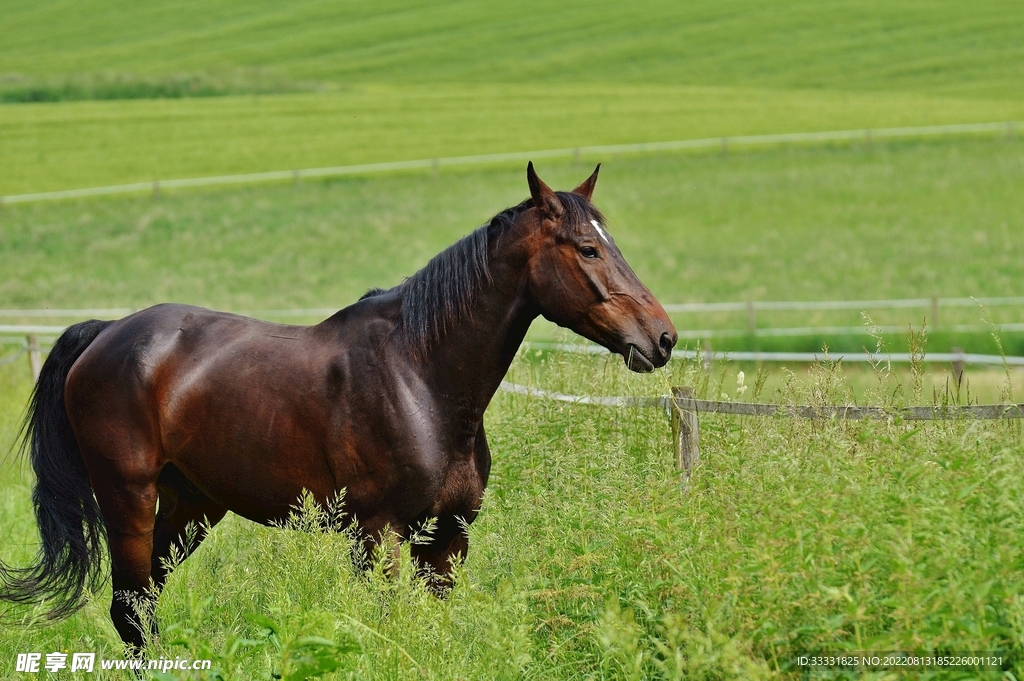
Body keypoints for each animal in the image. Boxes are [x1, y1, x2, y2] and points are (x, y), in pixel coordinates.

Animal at [1, 163, 677, 650]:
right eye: (587, 249)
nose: (662, 338)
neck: (421, 376)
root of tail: (107, 333)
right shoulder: (379, 536)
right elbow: (388, 628)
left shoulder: (447, 541)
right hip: (129, 501)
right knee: (129, 610)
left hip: (192, 506)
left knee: (143, 607)